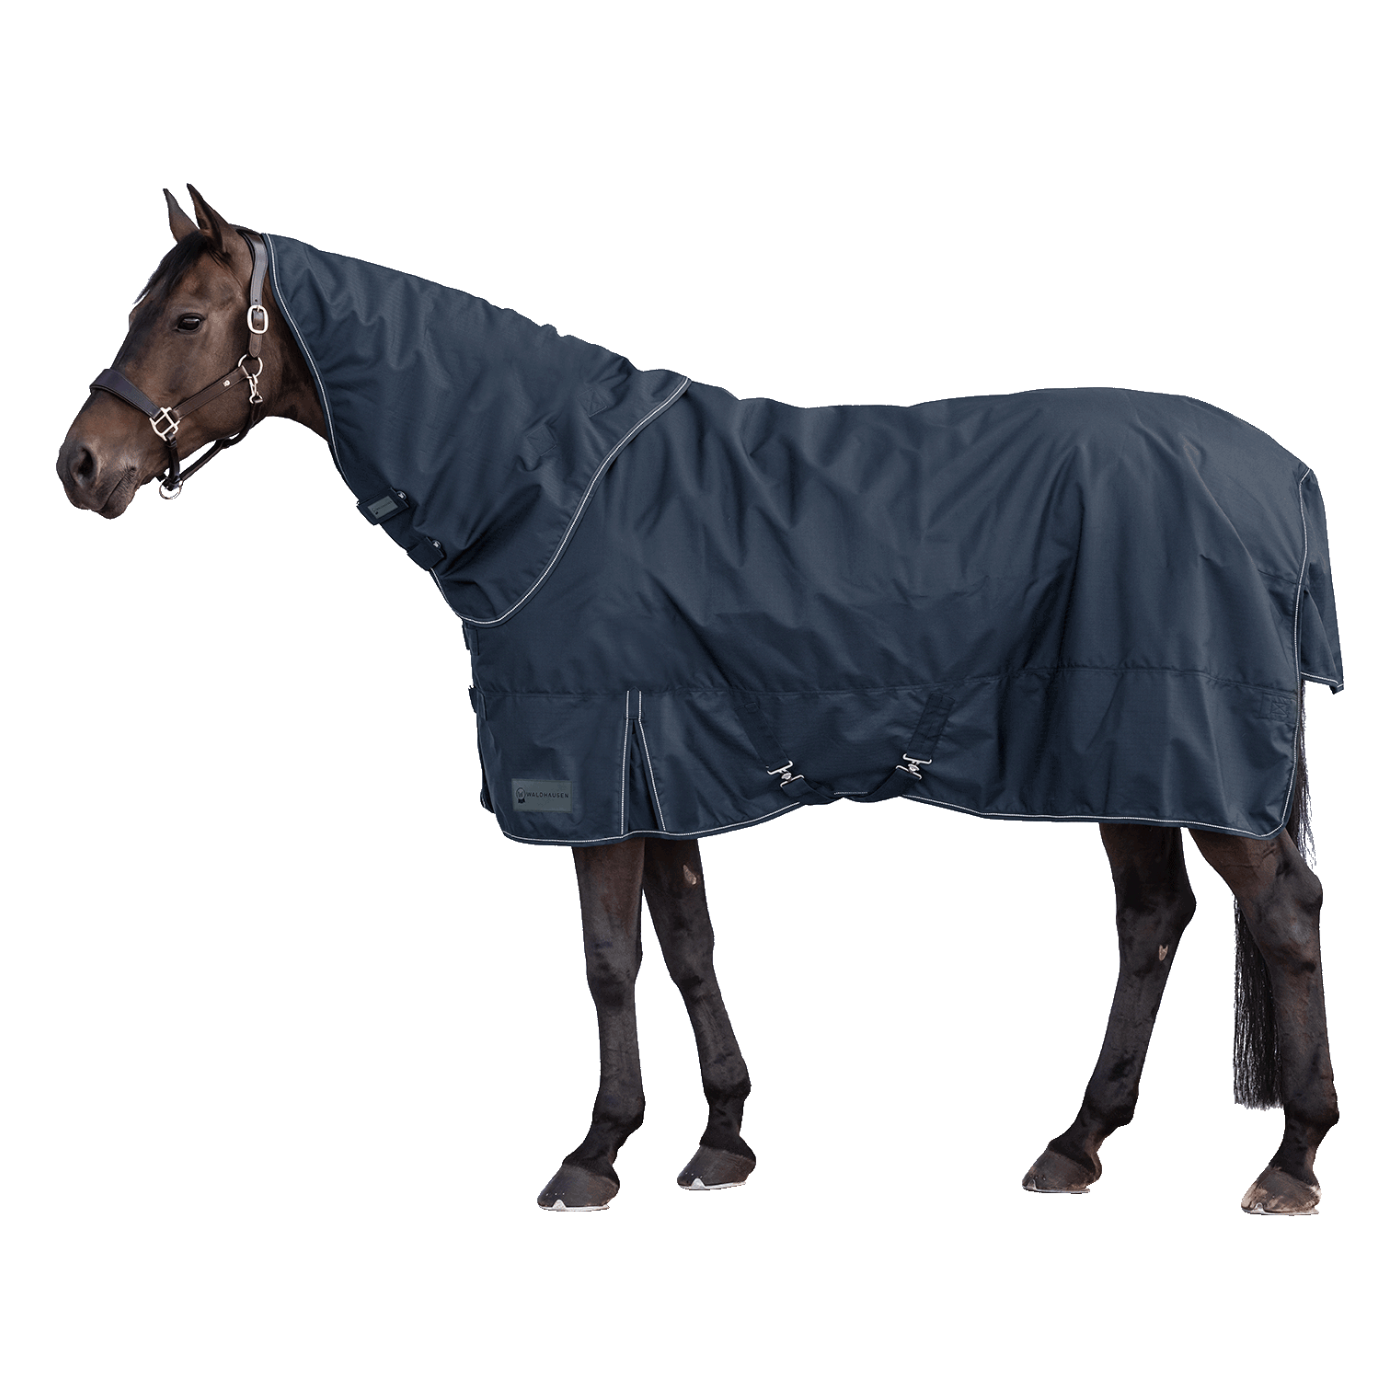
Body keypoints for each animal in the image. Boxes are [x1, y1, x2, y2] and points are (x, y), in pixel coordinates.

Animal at [56, 186, 1340, 1215]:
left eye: (185, 319)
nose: (81, 464)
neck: (546, 482)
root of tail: (1279, 476)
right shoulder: (660, 764)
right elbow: (683, 947)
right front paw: (720, 1139)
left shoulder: (594, 770)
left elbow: (608, 962)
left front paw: (590, 1157)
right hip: (1129, 753)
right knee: (1152, 920)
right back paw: (1073, 1146)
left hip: (1186, 752)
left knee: (1278, 918)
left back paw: (1287, 1163)